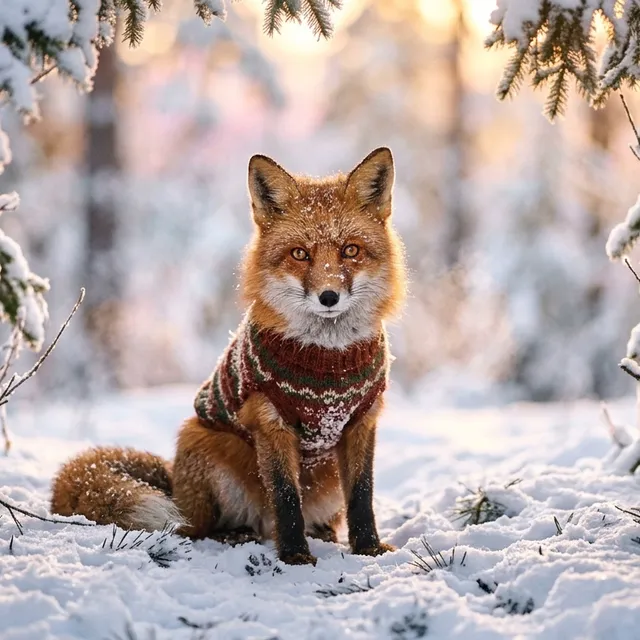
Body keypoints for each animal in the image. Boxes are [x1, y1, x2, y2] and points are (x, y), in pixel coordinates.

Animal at [51, 147, 407, 565]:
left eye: (350, 250)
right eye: (300, 254)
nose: (329, 297)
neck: (326, 357)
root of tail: (173, 480)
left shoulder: (361, 420)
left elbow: (363, 496)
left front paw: (368, 548)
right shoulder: (269, 418)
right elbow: (286, 497)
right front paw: (295, 556)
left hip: (326, 478)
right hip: (207, 444)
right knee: (200, 528)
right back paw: (237, 536)